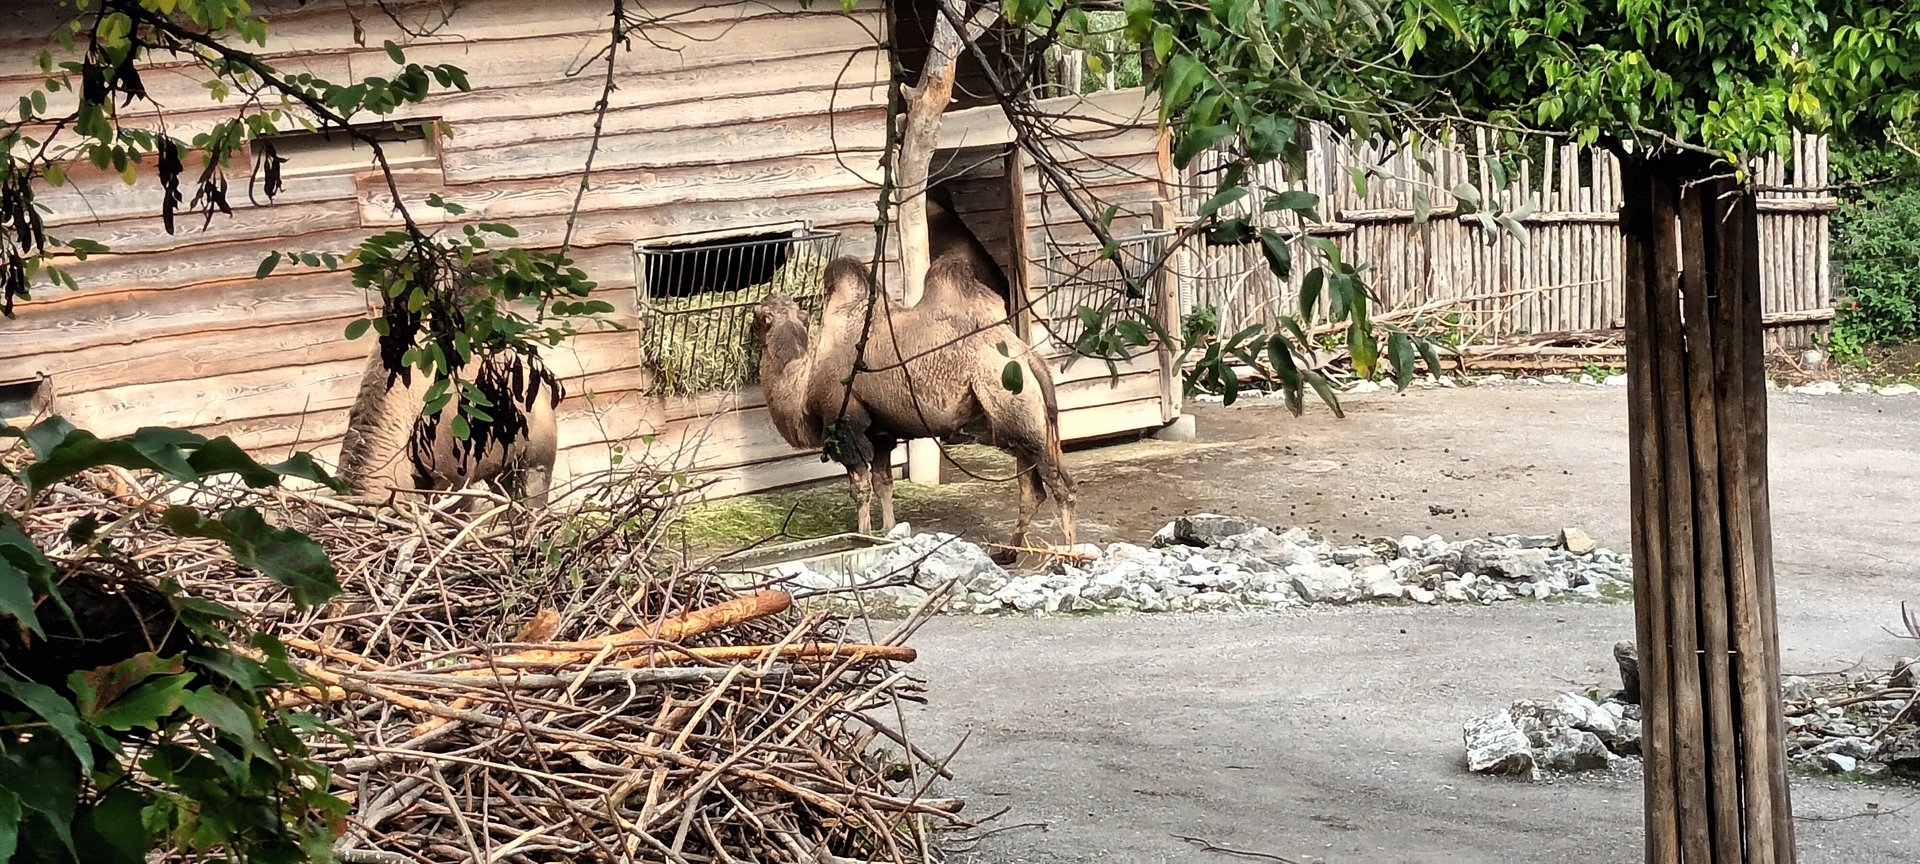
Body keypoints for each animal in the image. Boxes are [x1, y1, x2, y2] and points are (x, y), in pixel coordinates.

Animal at [750, 256, 1077, 554]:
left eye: (758, 316)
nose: (758, 304)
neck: (804, 377)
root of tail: (1030, 358)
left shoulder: (845, 425)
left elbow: (861, 488)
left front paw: (862, 535)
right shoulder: (880, 432)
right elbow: (884, 482)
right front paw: (888, 531)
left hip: (1013, 404)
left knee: (1061, 486)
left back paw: (1068, 554)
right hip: (1019, 422)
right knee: (1032, 488)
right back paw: (1009, 551)